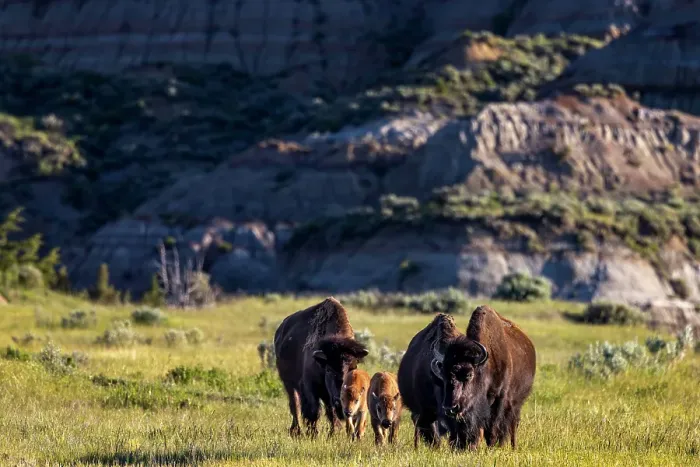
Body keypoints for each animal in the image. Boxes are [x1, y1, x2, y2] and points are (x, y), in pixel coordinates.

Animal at [274, 297, 369, 438]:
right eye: (329, 369)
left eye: (353, 367)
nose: (341, 403)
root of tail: (281, 330)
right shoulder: (309, 386)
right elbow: (314, 410)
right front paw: (313, 434)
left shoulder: (328, 394)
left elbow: (330, 412)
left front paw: (334, 432)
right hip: (288, 383)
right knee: (295, 404)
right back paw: (296, 431)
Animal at [399, 306, 536, 450]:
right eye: (443, 377)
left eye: (469, 375)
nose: (451, 407)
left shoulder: (499, 399)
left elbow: (493, 427)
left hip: (516, 404)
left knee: (511, 424)